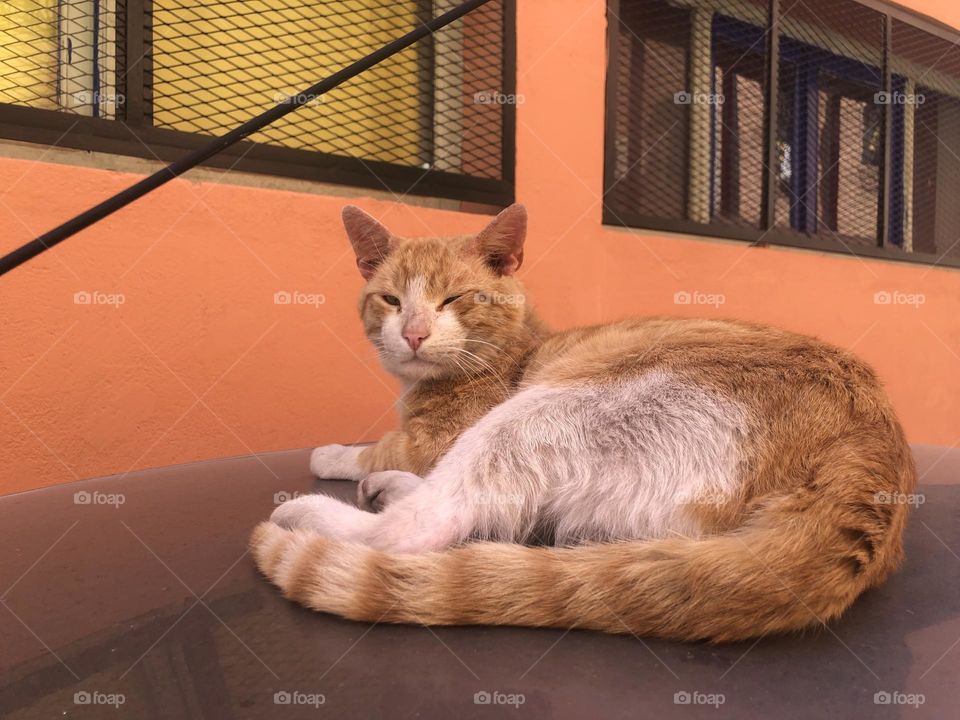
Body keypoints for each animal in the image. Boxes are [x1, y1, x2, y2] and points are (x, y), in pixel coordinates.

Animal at [249, 202, 916, 640]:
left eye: (454, 299)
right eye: (390, 299)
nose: (412, 333)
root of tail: (871, 451)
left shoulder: (438, 436)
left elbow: (377, 444)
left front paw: (332, 454)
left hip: (542, 412)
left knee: (421, 525)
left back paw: (314, 512)